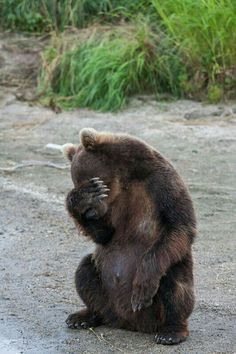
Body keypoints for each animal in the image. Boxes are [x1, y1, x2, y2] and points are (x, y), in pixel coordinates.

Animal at [63, 129, 196, 344]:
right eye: (78, 183)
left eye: (94, 180)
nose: (91, 212)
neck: (125, 179)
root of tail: (130, 323)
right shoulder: (112, 211)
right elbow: (104, 235)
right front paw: (80, 199)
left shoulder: (160, 183)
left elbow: (179, 225)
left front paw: (141, 291)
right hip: (105, 291)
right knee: (85, 271)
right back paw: (83, 317)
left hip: (160, 302)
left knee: (175, 283)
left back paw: (171, 331)